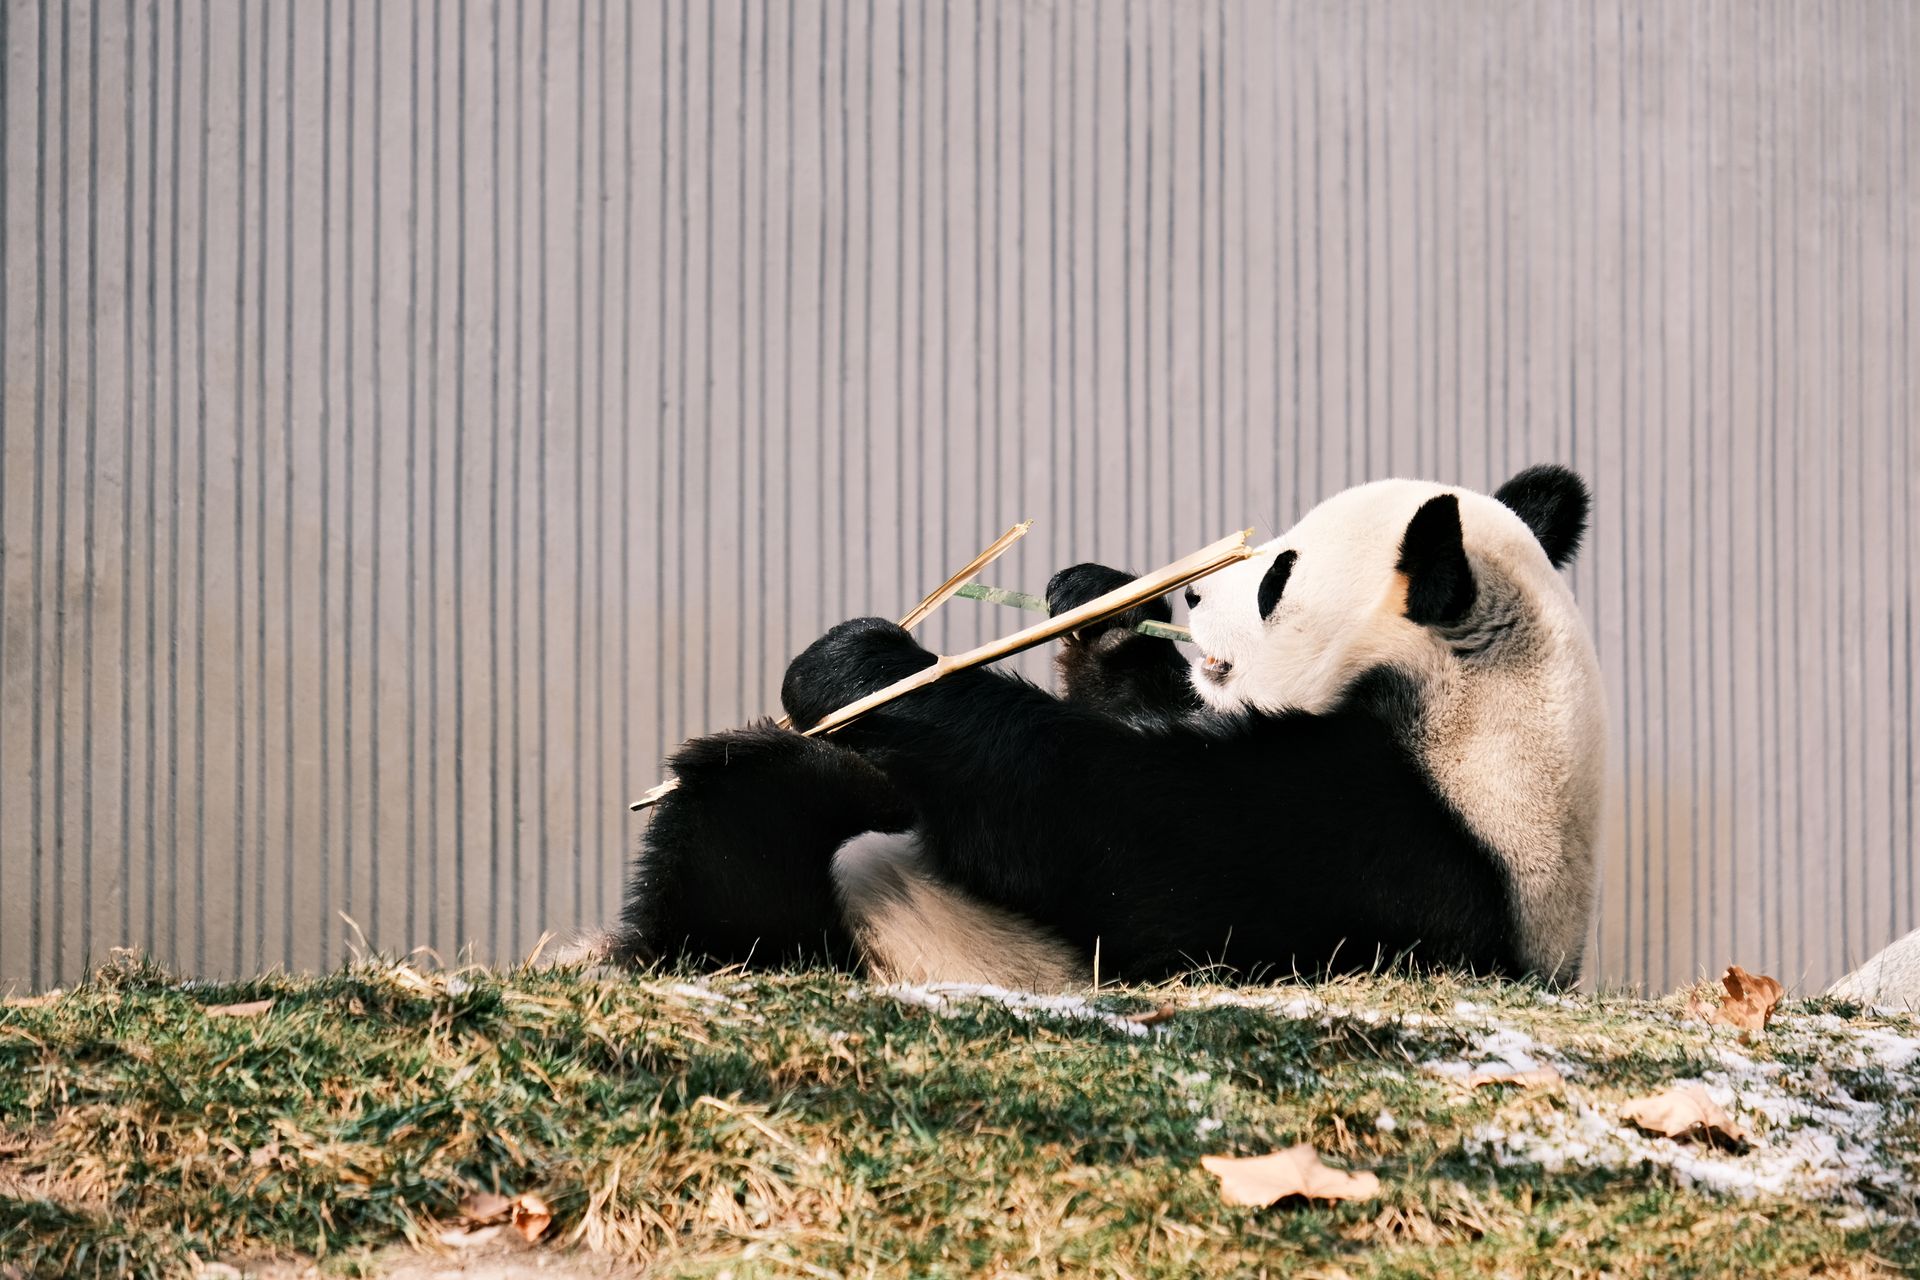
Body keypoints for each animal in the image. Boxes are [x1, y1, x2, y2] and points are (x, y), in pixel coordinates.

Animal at [611, 464, 1605, 989]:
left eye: (1276, 579)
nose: (1196, 595)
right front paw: (1104, 604)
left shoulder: (1384, 839)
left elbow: (1115, 830)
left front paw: (862, 667)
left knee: (760, 832)